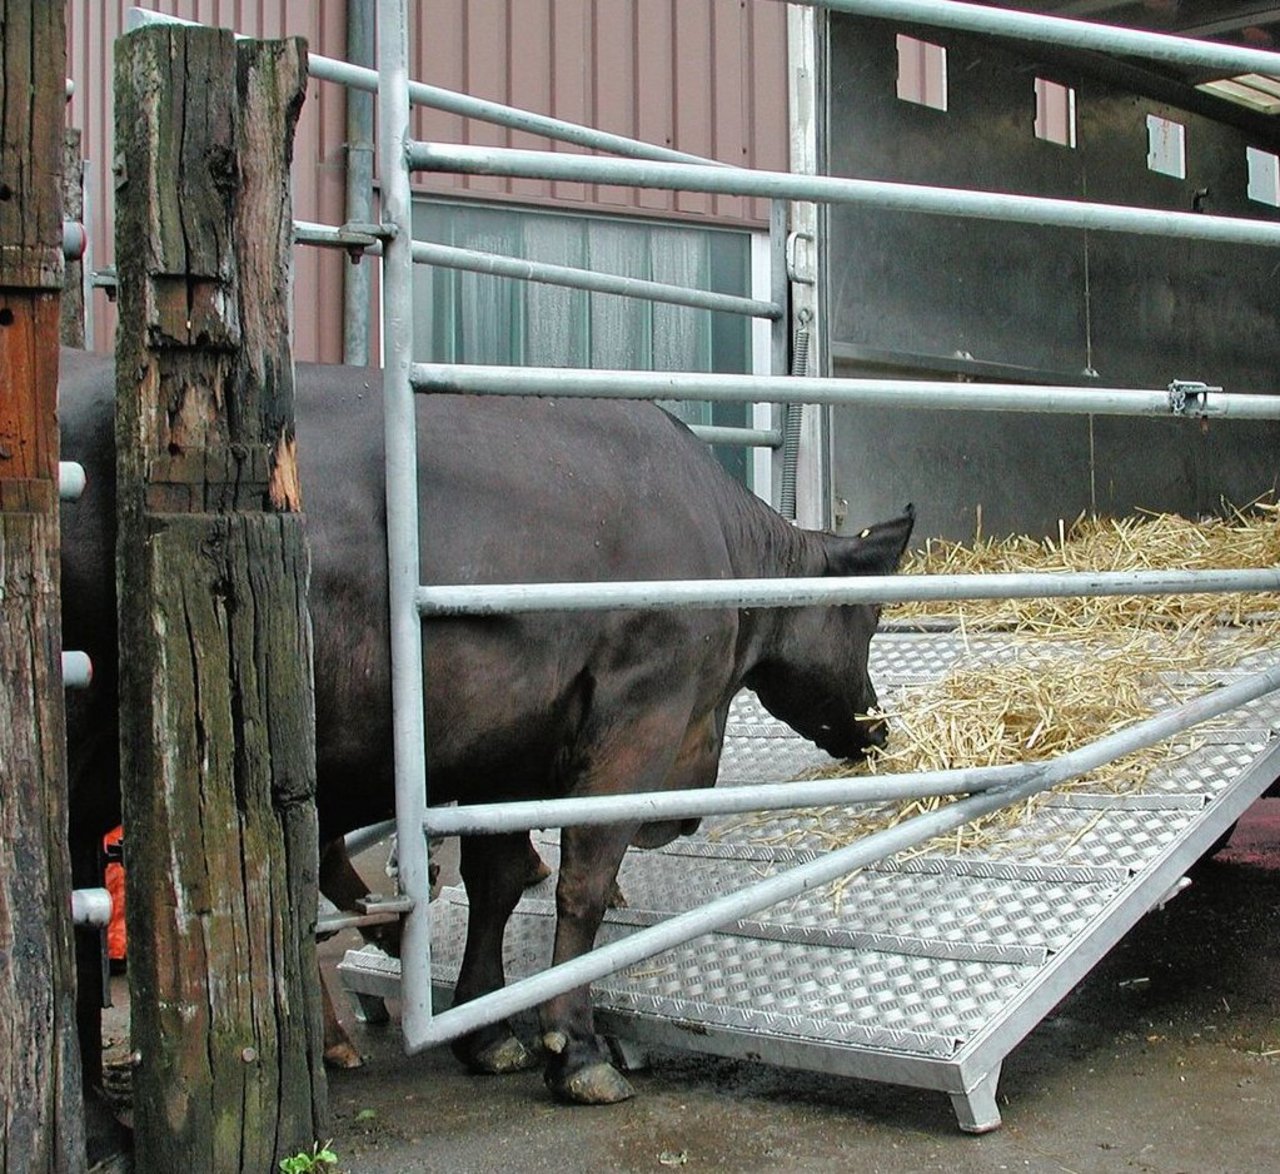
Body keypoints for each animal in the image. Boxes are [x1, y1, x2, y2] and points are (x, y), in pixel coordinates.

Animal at [58, 348, 913, 1111]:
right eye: (870, 616)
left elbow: (498, 882)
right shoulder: (641, 713)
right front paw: (576, 1048)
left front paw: (486, 1032)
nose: (878, 732)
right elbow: (583, 882)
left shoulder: (508, 748)